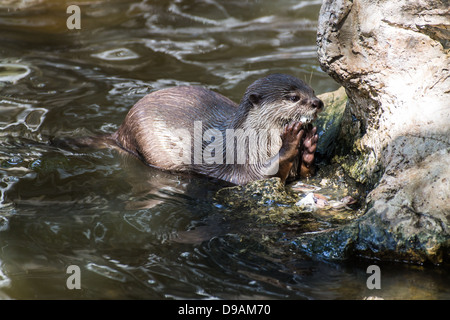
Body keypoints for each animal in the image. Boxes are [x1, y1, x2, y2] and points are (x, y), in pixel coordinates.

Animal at [112, 74, 324, 185]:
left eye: (313, 91)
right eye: (294, 98)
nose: (318, 102)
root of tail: (121, 129)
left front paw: (309, 144)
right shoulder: (241, 163)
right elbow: (261, 173)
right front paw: (291, 140)